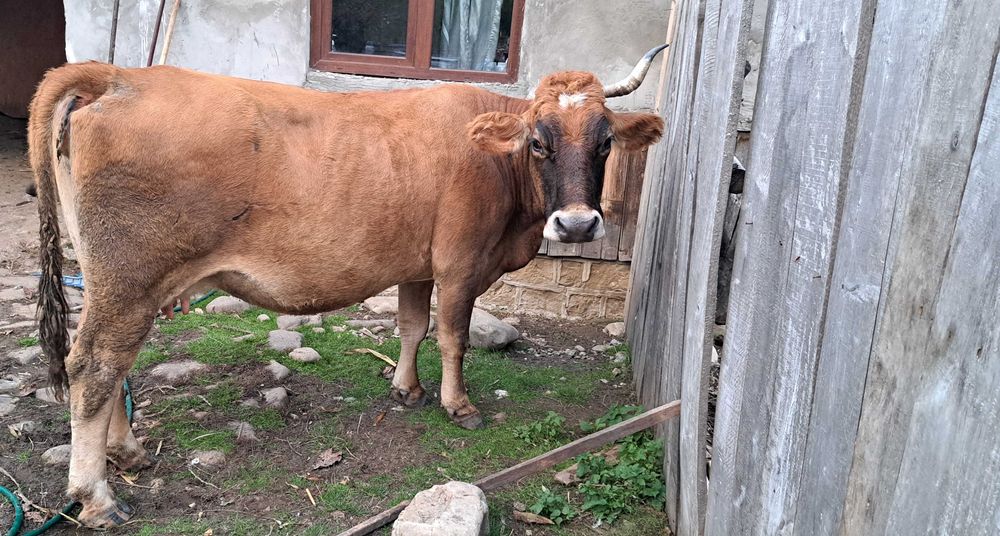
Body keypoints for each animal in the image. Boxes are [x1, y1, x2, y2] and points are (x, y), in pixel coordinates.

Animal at [29, 46, 666, 528]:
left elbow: (412, 326)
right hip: (129, 278)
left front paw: (407, 390)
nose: (578, 225)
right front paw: (457, 405)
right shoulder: (460, 264)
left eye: (605, 142)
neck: (495, 160)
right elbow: (453, 336)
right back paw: (98, 497)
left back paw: (127, 451)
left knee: (116, 364)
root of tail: (118, 76)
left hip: (120, 283)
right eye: (539, 141)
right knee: (93, 366)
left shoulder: (417, 265)